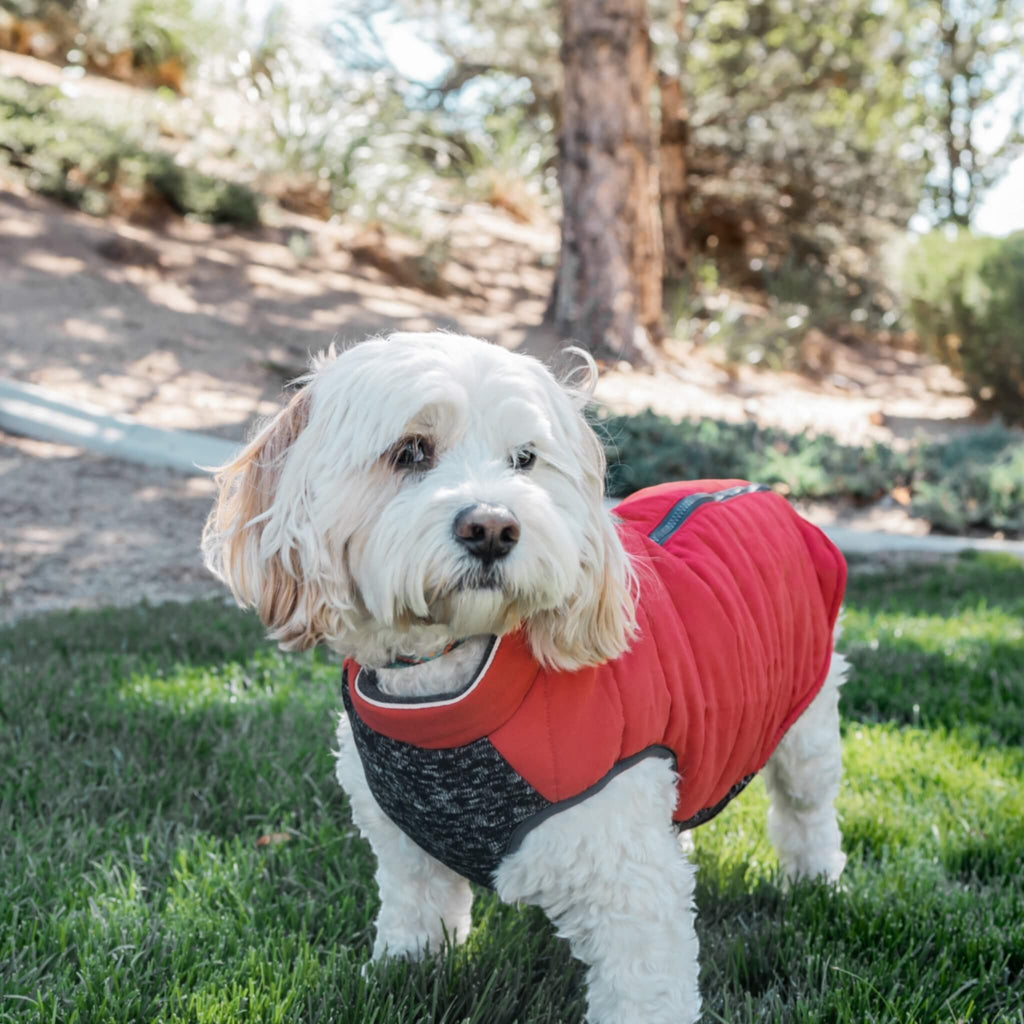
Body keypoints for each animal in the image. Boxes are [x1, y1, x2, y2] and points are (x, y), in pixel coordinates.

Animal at [201, 331, 847, 1019]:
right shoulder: (405, 853)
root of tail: (758, 488)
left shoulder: (628, 885)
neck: (448, 693)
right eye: (410, 451)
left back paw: (816, 882)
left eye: (525, 458)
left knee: (806, 809)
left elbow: (643, 986)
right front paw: (402, 976)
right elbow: (413, 925)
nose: (492, 527)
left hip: (809, 721)